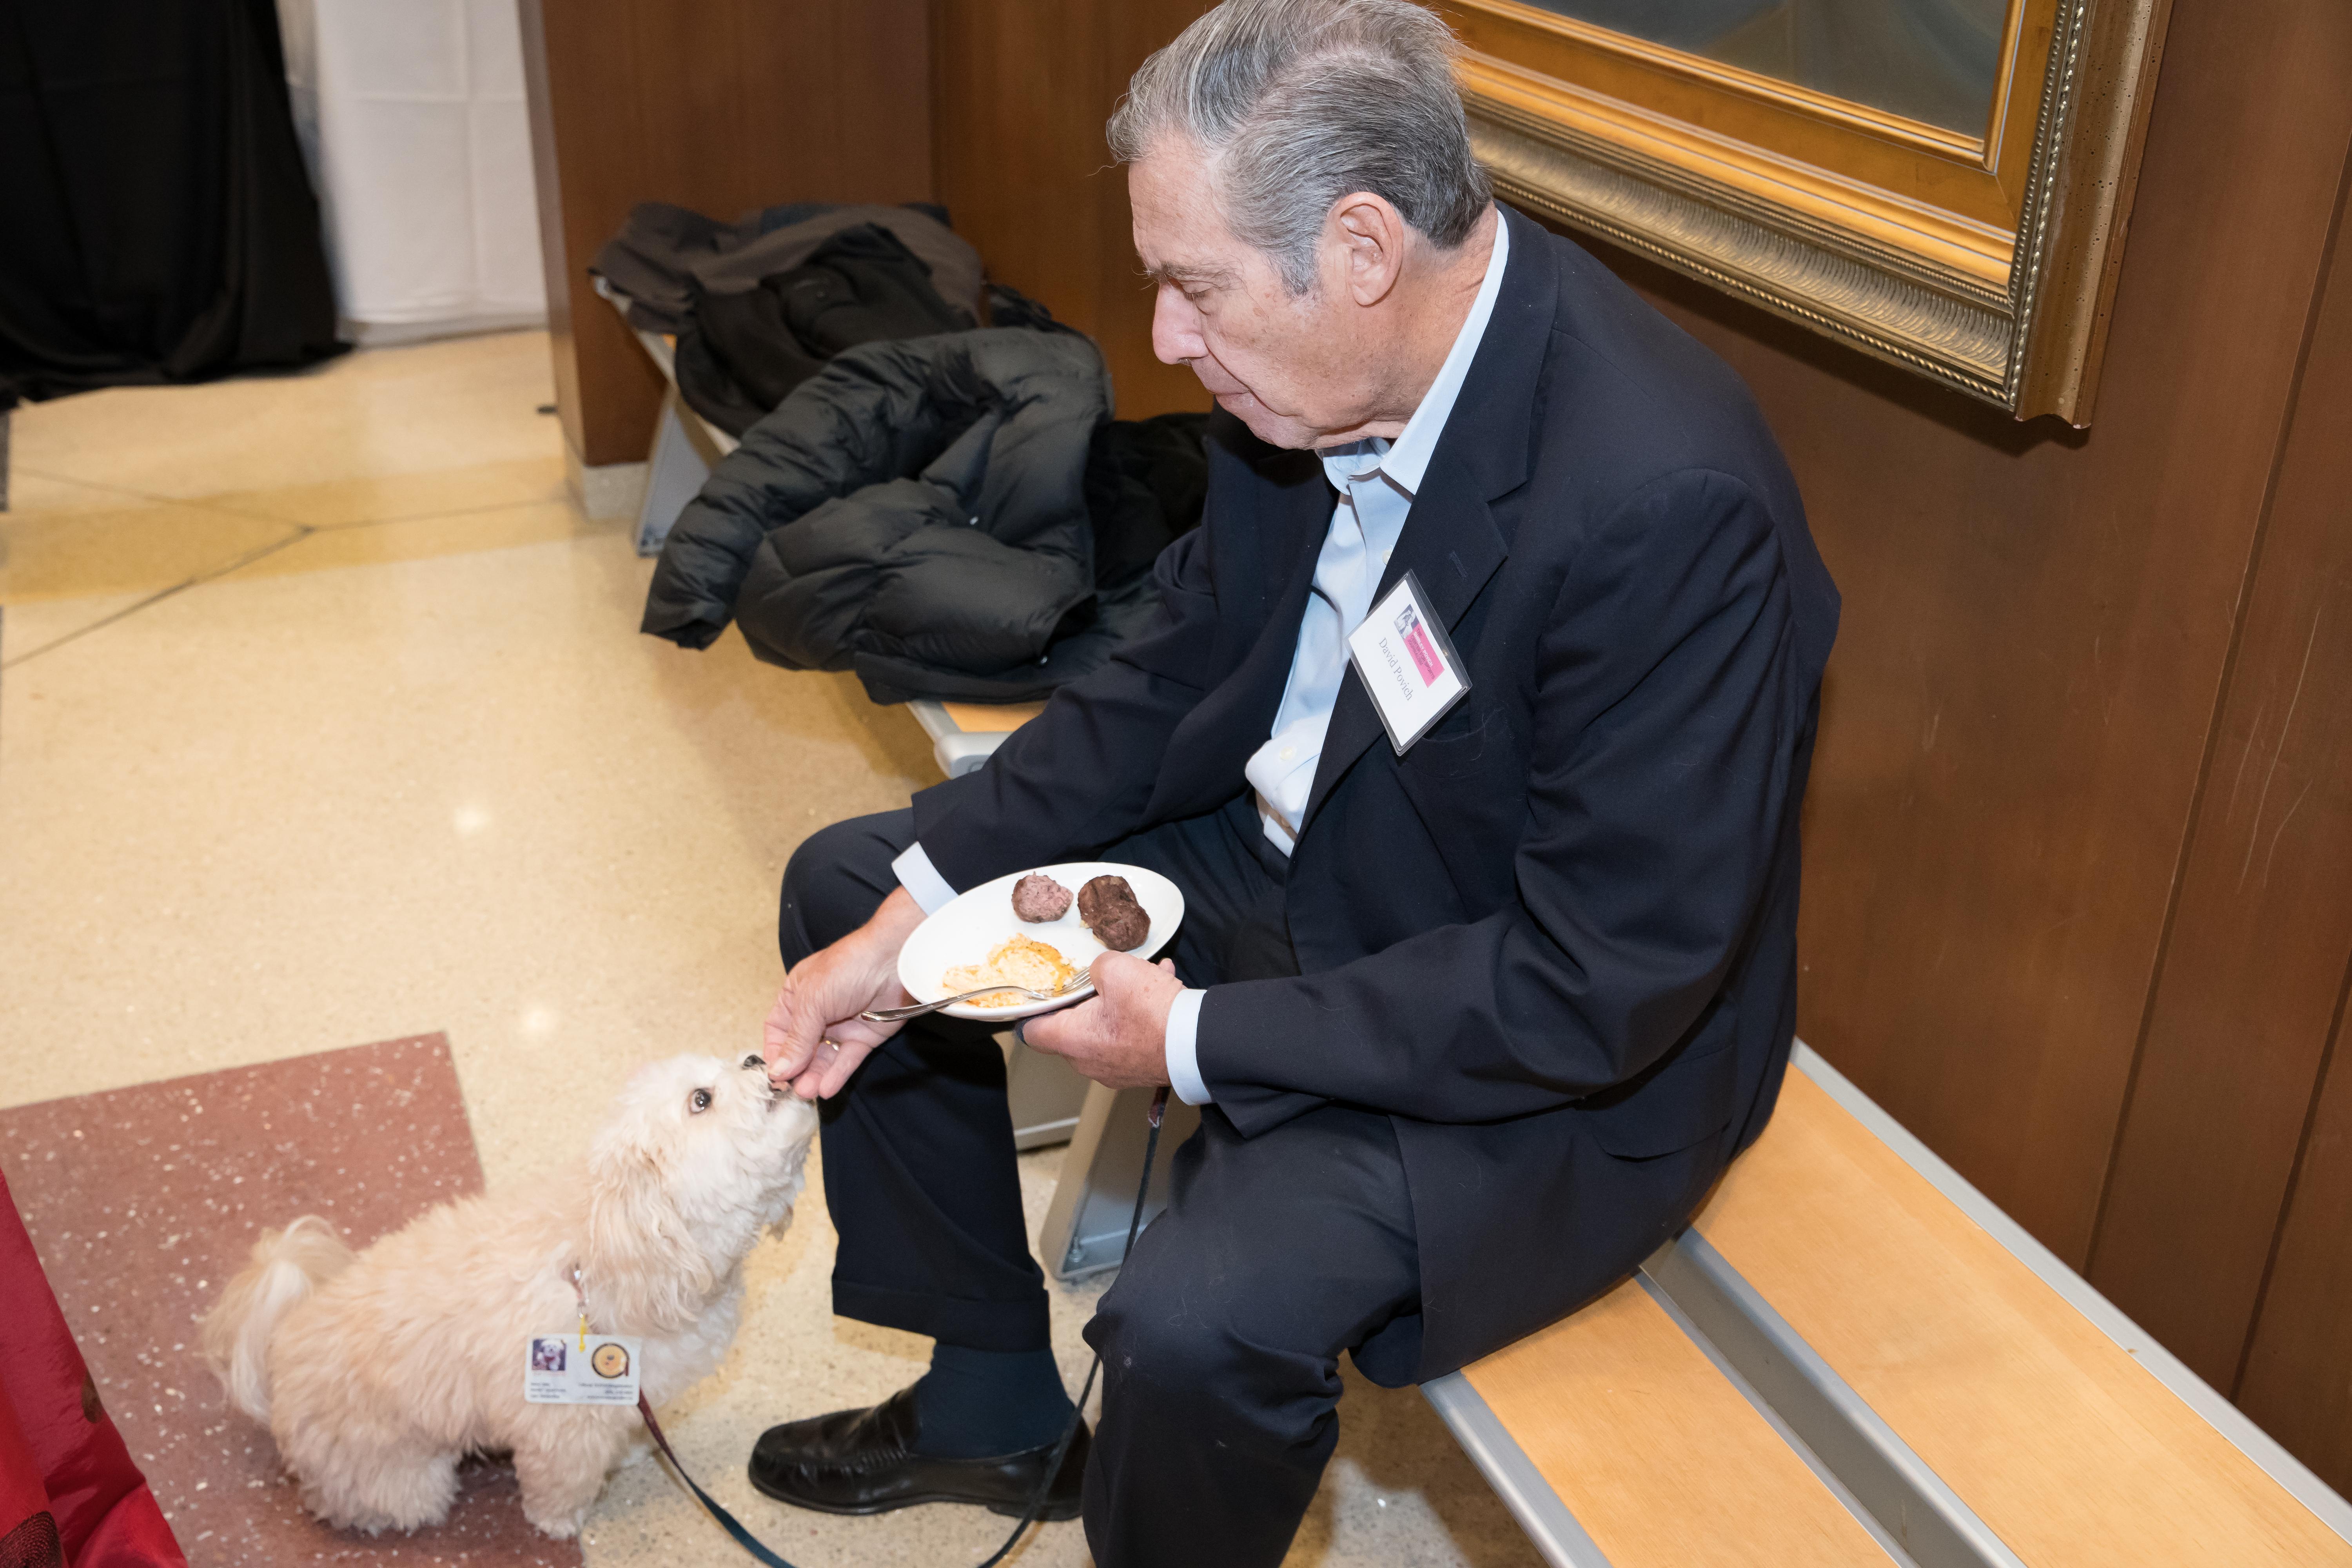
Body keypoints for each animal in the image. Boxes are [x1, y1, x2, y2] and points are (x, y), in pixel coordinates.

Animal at [198, 1048, 818, 1542]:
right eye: (701, 1100)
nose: (758, 1057)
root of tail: (282, 1342)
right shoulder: (560, 1426)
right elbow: (561, 1484)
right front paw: (559, 1523)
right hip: (400, 1479)